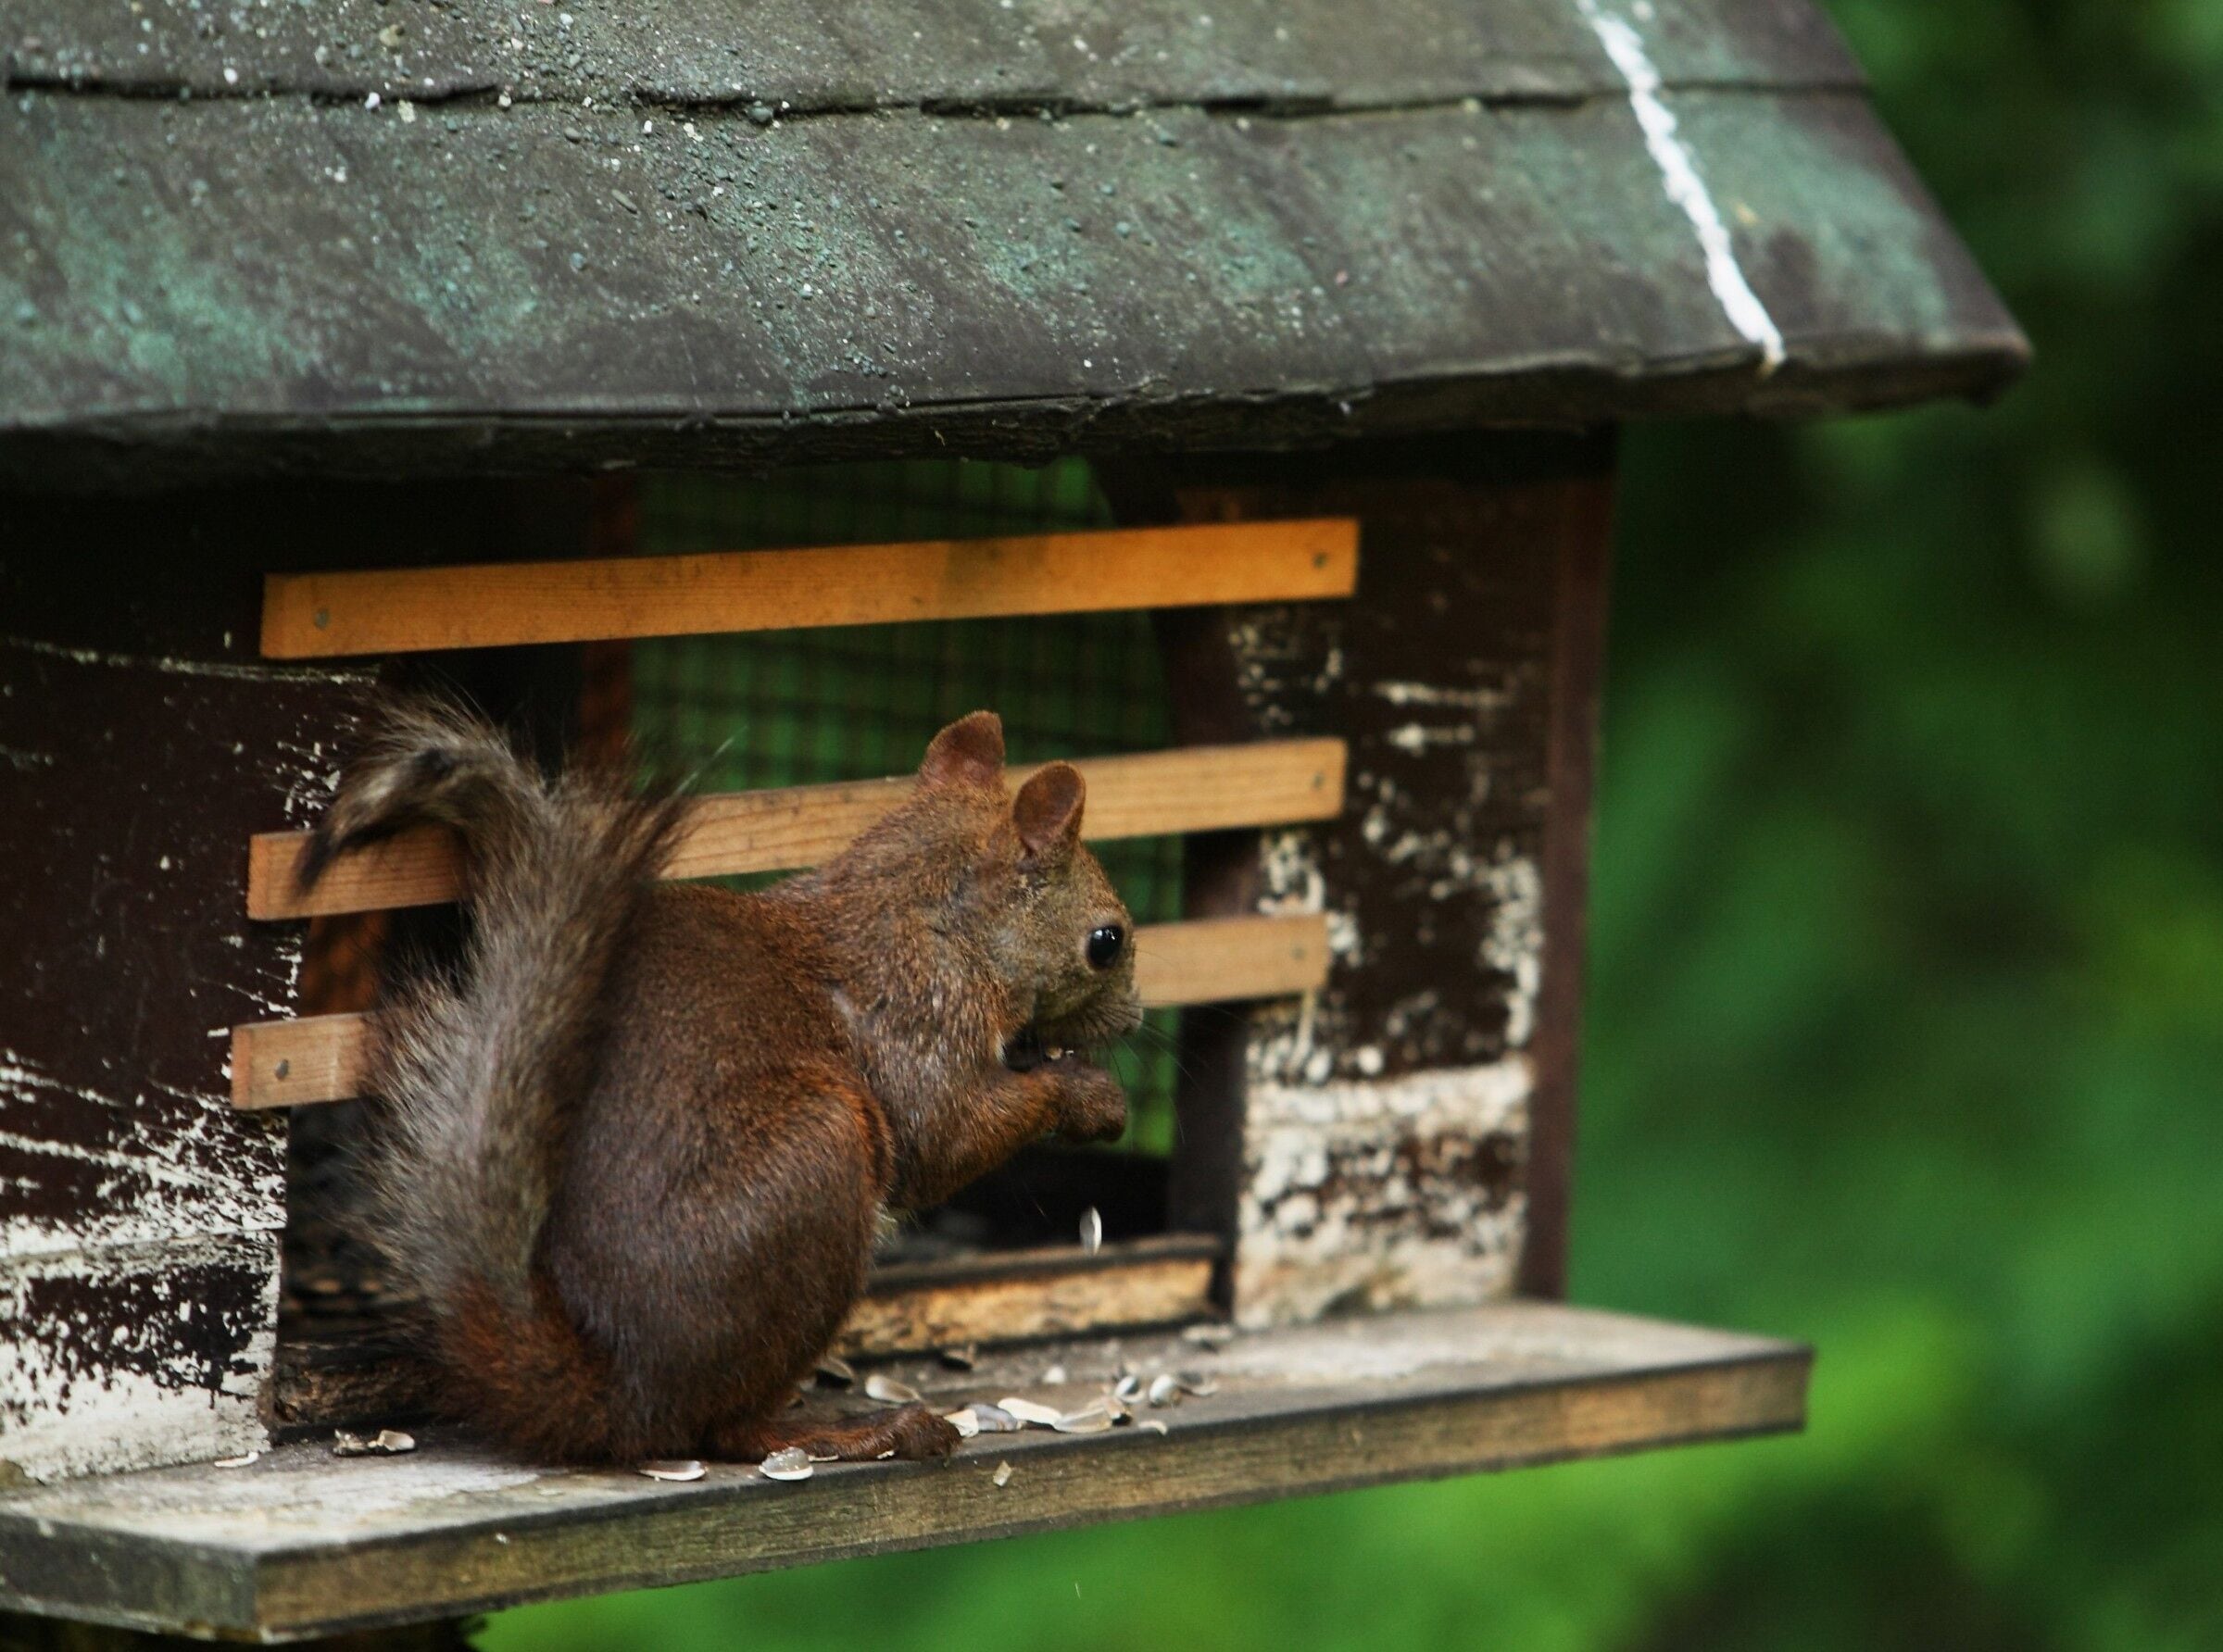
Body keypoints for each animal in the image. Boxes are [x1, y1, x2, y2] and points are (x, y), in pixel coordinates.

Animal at [299, 699, 1141, 1465]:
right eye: (1106, 941)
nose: (1135, 1018)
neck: (925, 914)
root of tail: (619, 1392)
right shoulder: (919, 1018)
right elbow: (947, 1137)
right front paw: (1090, 1095)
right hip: (820, 1164)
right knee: (725, 1430)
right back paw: (851, 1431)